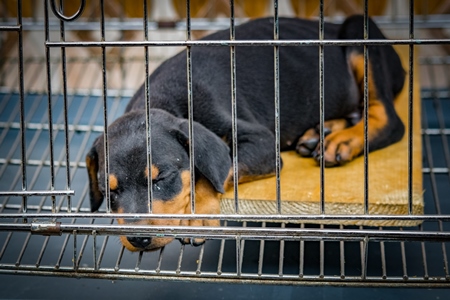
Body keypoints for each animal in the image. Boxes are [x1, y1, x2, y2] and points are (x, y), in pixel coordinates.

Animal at [85, 15, 404, 251]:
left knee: (388, 120)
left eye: (161, 179)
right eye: (109, 191)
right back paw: (320, 131)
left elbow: (211, 174)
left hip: (360, 36)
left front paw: (198, 218)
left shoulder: (261, 142)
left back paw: (342, 140)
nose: (138, 239)